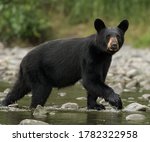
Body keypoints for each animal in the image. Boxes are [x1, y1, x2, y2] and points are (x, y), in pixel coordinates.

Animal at [0, 18, 128, 110]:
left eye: (118, 36)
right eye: (108, 36)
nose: (114, 45)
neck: (101, 53)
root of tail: (23, 60)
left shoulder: (105, 62)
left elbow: (97, 81)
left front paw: (95, 105)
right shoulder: (88, 57)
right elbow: (90, 80)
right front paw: (116, 100)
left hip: (27, 74)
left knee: (18, 89)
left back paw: (4, 102)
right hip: (37, 71)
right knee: (40, 91)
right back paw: (34, 106)